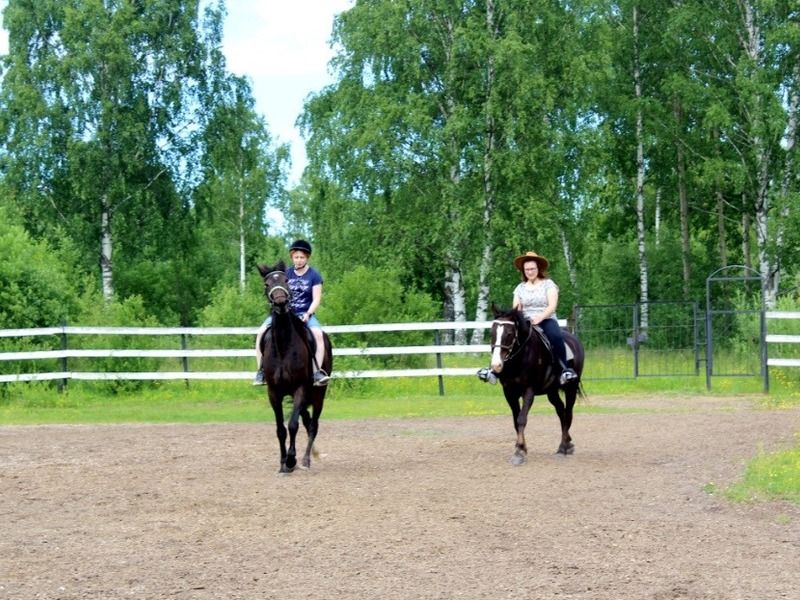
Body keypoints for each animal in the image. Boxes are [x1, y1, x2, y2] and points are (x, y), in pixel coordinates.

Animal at [256, 260, 333, 473]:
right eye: (267, 284)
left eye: (286, 281)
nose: (281, 303)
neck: (283, 346)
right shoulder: (274, 392)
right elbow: (281, 429)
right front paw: (283, 463)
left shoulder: (300, 388)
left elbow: (292, 425)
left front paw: (291, 460)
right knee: (306, 420)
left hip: (318, 393)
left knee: (313, 424)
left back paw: (306, 460)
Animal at [488, 305, 585, 466]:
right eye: (492, 332)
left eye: (509, 333)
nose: (496, 365)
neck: (521, 357)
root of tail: (574, 340)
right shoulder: (509, 392)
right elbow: (515, 421)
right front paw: (522, 449)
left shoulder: (529, 390)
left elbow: (522, 419)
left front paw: (519, 451)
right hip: (552, 391)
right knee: (561, 411)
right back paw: (565, 445)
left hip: (570, 387)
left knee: (568, 413)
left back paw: (564, 447)